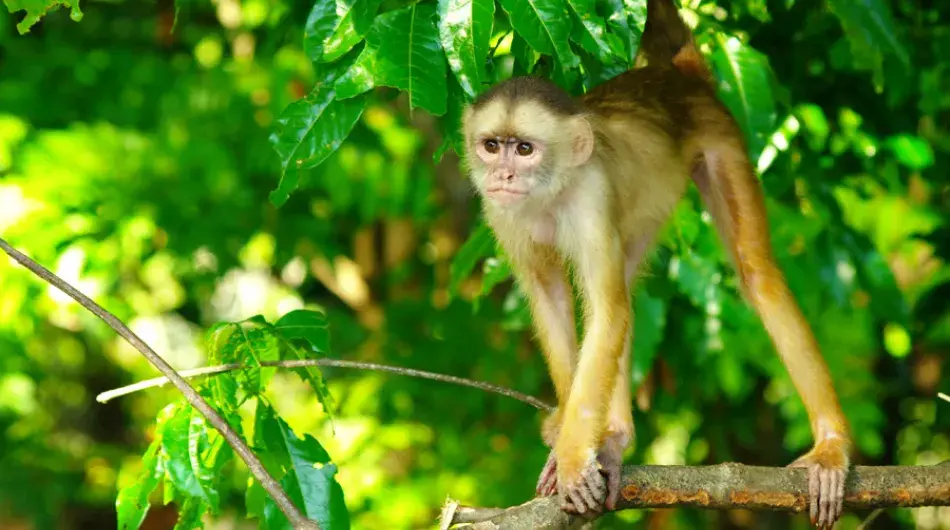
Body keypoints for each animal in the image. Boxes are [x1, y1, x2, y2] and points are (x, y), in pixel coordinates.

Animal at [459, 0, 852, 527]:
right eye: (491, 145)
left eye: (524, 149)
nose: (502, 173)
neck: (551, 191)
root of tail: (675, 77)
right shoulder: (499, 213)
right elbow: (552, 297)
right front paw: (572, 442)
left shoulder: (591, 197)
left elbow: (607, 315)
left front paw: (573, 459)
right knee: (625, 284)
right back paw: (615, 438)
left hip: (721, 138)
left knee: (756, 276)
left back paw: (831, 447)